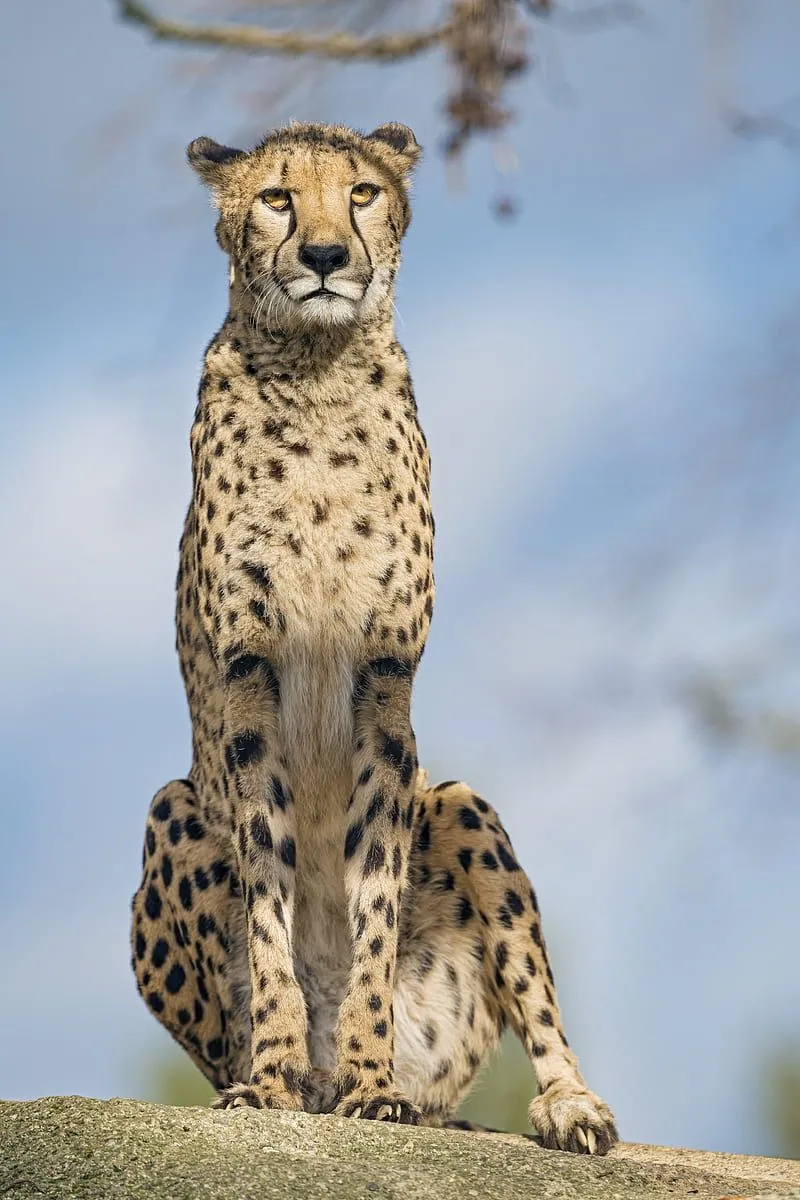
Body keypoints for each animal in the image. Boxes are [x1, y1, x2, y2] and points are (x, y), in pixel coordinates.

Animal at [130, 119, 618, 1155]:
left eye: (361, 192)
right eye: (277, 198)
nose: (323, 256)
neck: (317, 372)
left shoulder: (385, 682)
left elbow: (377, 895)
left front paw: (370, 1079)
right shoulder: (251, 679)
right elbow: (268, 895)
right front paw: (276, 1075)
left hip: (464, 805)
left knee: (531, 1001)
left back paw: (563, 1104)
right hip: (172, 806)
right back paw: (293, 1076)